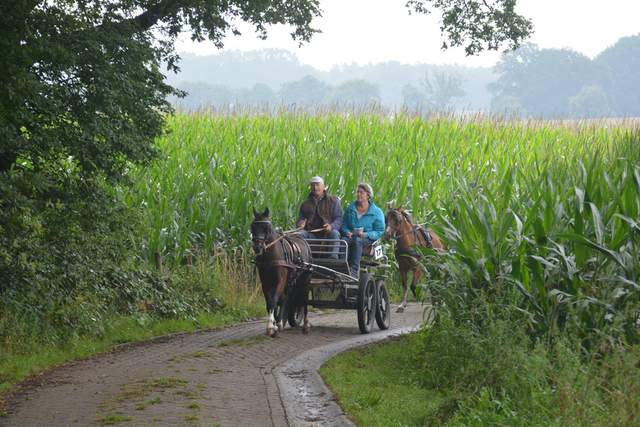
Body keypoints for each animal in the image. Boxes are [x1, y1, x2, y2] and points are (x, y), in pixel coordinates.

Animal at [250, 207, 312, 338]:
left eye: (267, 227)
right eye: (252, 226)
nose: (257, 247)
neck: (272, 256)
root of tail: (303, 241)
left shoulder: (280, 281)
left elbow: (273, 301)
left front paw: (270, 326)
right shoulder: (265, 283)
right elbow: (269, 303)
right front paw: (274, 325)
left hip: (305, 277)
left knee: (304, 300)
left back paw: (306, 326)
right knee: (285, 299)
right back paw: (279, 323)